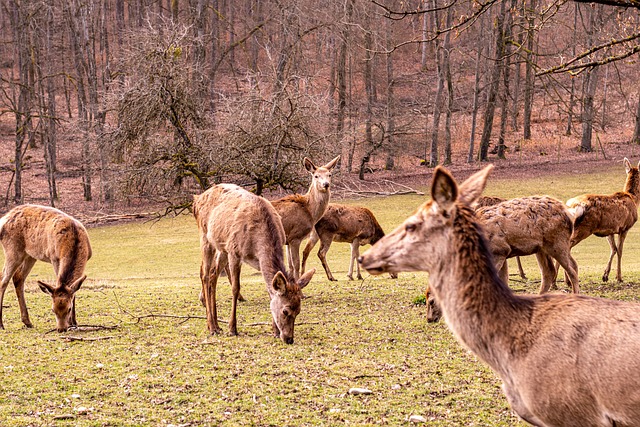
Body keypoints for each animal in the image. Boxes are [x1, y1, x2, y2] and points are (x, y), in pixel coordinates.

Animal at [194, 184, 316, 344]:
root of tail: (197, 200)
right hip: (205, 237)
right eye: (285, 310)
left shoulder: (255, 260)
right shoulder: (235, 252)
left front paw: (275, 331)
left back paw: (216, 325)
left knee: (213, 275)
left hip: (222, 247)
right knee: (204, 274)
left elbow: (270, 289)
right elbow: (235, 288)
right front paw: (232, 329)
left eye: (299, 311)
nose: (289, 339)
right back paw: (212, 327)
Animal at [360, 166, 640, 427]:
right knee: (549, 272)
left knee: (572, 267)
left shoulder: (500, 251)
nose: (429, 318)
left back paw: (574, 293)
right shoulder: (504, 253)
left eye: (430, 301)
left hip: (556, 240)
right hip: (541, 246)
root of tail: (569, 211)